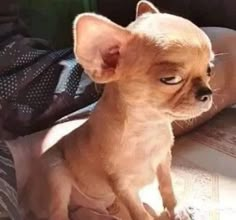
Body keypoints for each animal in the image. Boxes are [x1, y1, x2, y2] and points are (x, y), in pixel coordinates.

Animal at [20, 0, 214, 220]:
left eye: (209, 70)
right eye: (171, 79)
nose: (207, 93)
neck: (147, 128)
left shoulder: (163, 162)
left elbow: (167, 187)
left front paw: (176, 209)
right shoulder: (123, 186)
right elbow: (140, 213)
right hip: (56, 174)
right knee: (58, 213)